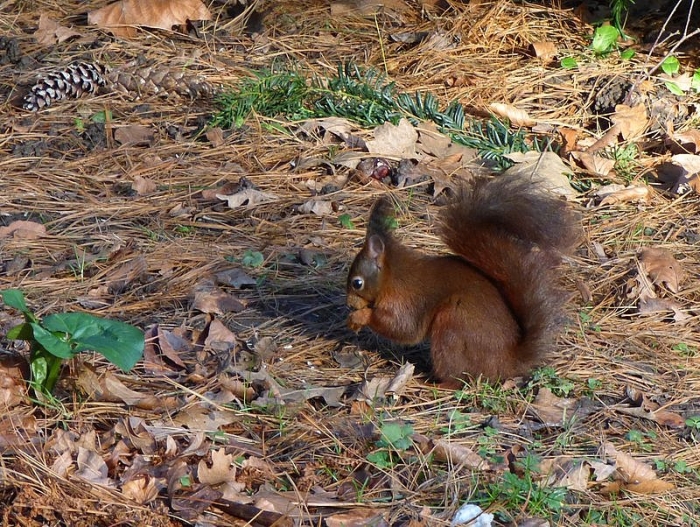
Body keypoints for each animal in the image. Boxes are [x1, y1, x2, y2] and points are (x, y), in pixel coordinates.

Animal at [346, 176, 580, 387]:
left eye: (357, 283)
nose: (349, 304)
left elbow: (403, 328)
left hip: (452, 326)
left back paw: (435, 384)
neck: (391, 277)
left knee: (457, 378)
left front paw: (360, 316)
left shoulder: (405, 300)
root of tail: (506, 361)